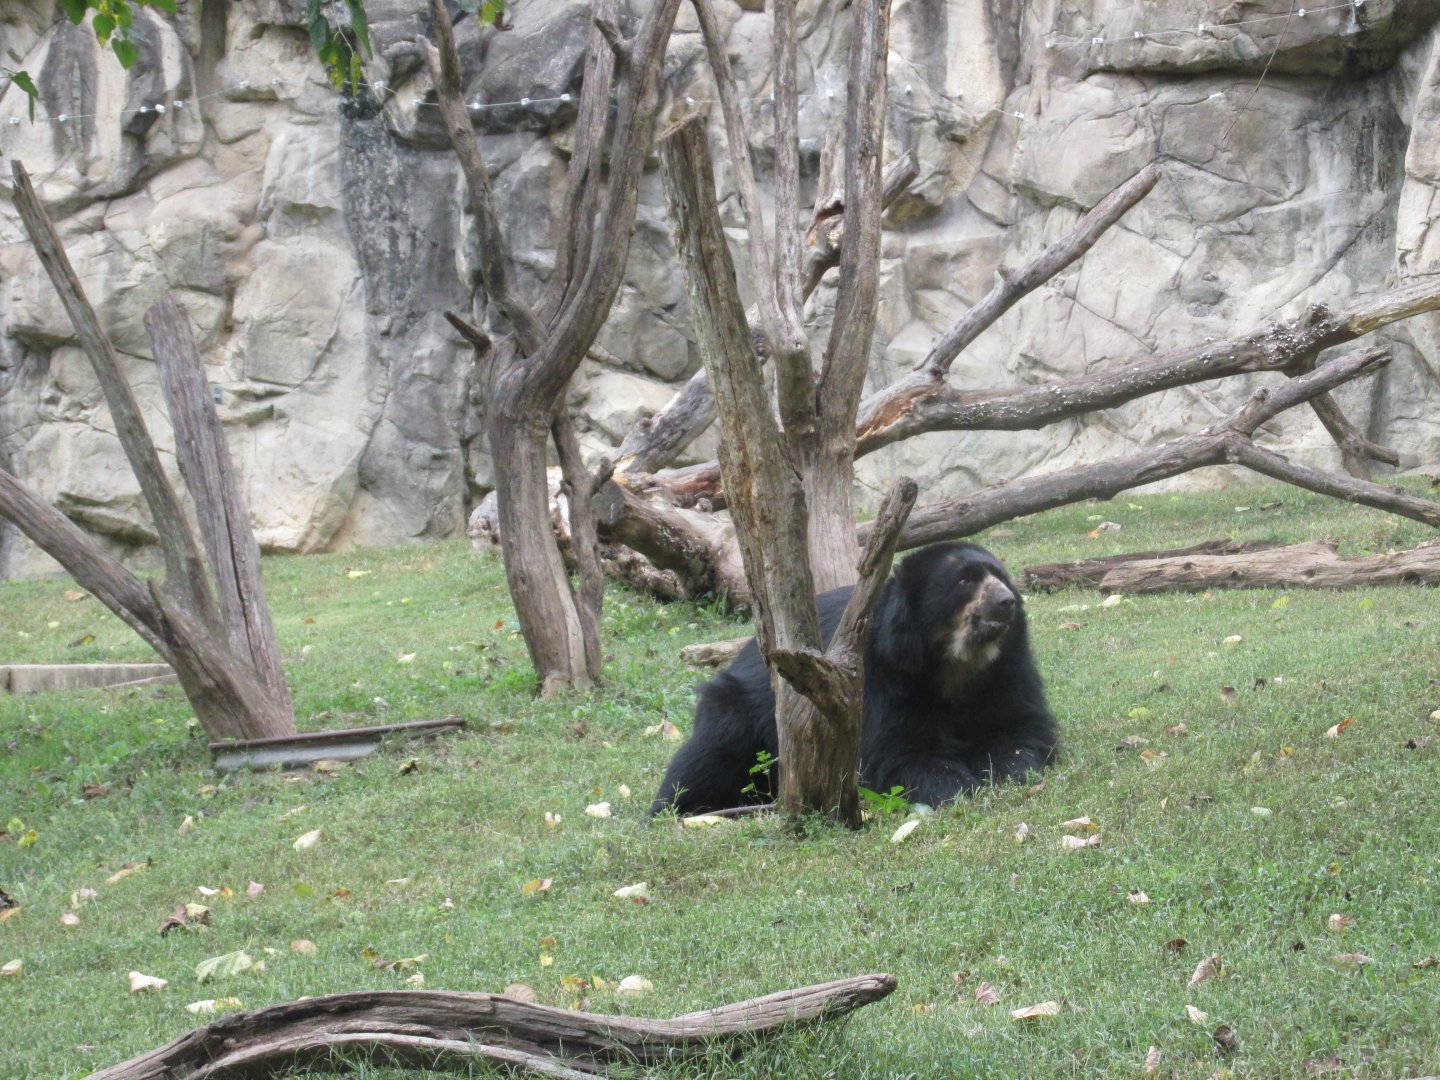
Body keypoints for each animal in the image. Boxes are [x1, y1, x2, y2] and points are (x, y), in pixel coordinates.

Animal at [650, 541, 1057, 815]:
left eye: (1000, 577)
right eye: (964, 581)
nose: (1006, 602)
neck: (955, 663)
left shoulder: (1007, 668)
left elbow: (1020, 726)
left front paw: (1009, 772)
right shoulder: (879, 677)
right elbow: (899, 751)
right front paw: (957, 786)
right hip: (738, 709)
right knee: (706, 758)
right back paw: (678, 812)